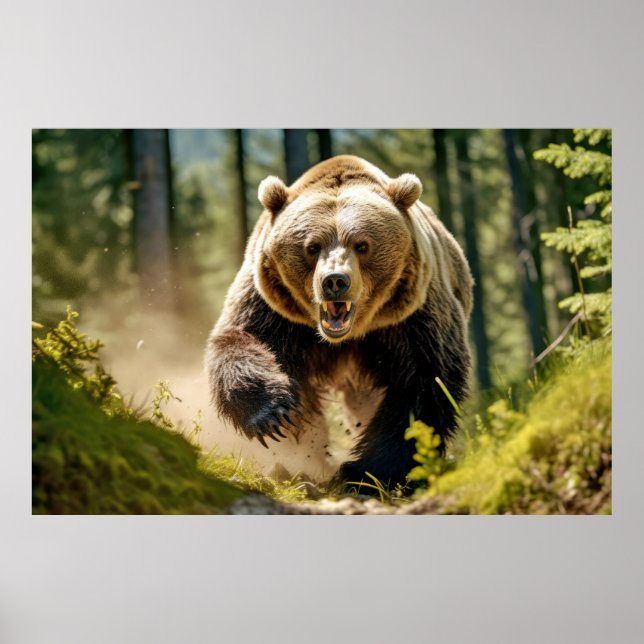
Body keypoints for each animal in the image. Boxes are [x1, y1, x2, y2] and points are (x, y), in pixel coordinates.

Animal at [206, 154, 473, 489]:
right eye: (311, 246)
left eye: (362, 245)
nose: (335, 281)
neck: (346, 335)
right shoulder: (272, 306)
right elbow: (244, 339)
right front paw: (272, 414)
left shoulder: (412, 315)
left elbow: (423, 382)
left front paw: (369, 472)